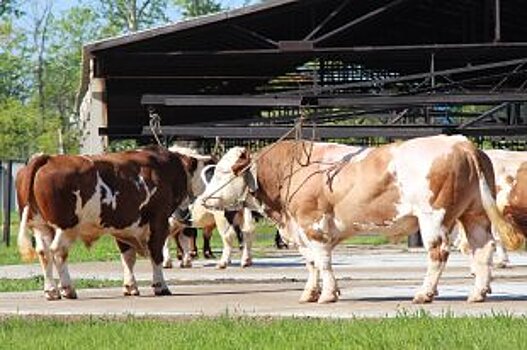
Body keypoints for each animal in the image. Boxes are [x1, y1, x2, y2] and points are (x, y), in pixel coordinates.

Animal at [16, 146, 195, 300]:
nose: (185, 213)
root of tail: (48, 158)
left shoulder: (124, 227)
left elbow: (128, 258)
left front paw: (130, 286)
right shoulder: (159, 220)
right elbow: (156, 254)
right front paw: (160, 286)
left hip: (40, 225)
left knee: (44, 252)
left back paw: (51, 291)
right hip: (65, 226)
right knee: (58, 251)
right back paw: (68, 289)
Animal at [198, 135, 524, 304]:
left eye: (225, 172)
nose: (203, 200)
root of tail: (461, 142)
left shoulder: (313, 226)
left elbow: (323, 262)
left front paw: (327, 294)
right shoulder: (301, 231)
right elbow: (311, 263)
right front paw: (310, 292)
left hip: (433, 216)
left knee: (438, 253)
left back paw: (424, 293)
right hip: (474, 214)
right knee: (482, 250)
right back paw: (477, 293)